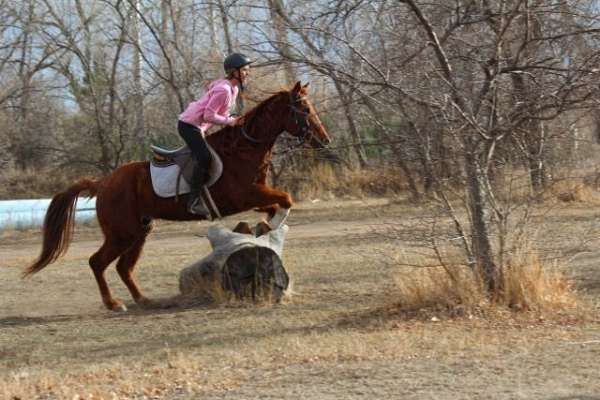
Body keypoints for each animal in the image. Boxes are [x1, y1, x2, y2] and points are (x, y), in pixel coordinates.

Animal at [23, 82, 330, 312]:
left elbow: (277, 203)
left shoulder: (255, 196)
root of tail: (103, 183)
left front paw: (261, 226)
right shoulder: (244, 195)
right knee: (97, 262)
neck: (245, 148)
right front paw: (267, 225)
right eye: (304, 109)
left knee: (123, 267)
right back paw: (114, 304)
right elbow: (286, 199)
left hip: (140, 231)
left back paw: (143, 300)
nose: (324, 141)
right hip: (122, 233)